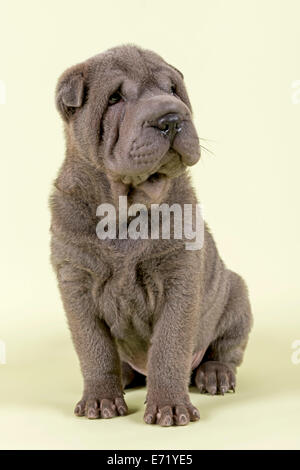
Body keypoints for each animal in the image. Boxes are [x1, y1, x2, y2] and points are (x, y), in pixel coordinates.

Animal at [50, 44, 252, 426]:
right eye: (114, 98)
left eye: (173, 89)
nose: (171, 118)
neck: (124, 212)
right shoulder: (76, 282)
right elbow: (94, 348)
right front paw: (101, 400)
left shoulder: (179, 278)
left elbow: (169, 347)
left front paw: (170, 408)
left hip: (236, 294)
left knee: (225, 349)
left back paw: (214, 375)